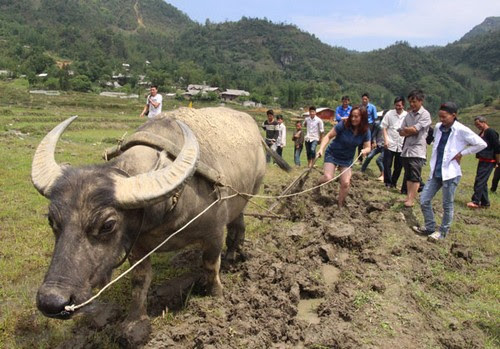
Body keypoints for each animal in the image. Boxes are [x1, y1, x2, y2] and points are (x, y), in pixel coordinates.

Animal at [32, 107, 270, 344]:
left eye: (108, 225)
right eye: (51, 220)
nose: (52, 301)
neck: (170, 205)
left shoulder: (214, 233)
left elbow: (211, 265)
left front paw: (216, 295)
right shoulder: (137, 245)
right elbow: (140, 280)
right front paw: (135, 322)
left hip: (247, 195)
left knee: (237, 227)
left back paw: (231, 256)